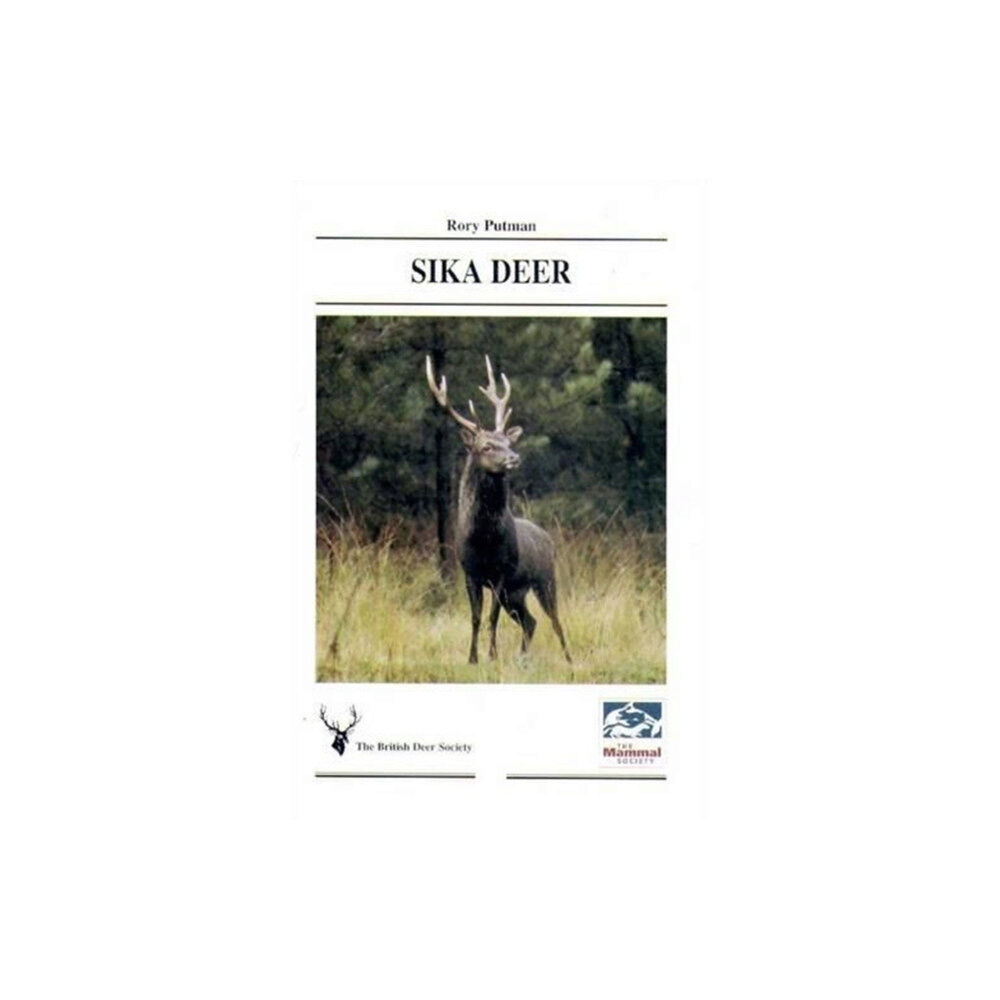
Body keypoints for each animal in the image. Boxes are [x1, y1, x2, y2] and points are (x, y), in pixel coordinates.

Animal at [425, 354, 571, 665]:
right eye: (486, 446)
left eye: (508, 441)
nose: (514, 457)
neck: (484, 539)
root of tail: (547, 537)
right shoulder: (470, 573)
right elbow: (476, 618)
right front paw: (472, 658)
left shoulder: (501, 572)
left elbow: (491, 618)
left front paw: (491, 656)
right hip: (515, 593)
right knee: (530, 621)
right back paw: (523, 658)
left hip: (544, 578)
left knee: (554, 620)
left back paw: (569, 659)